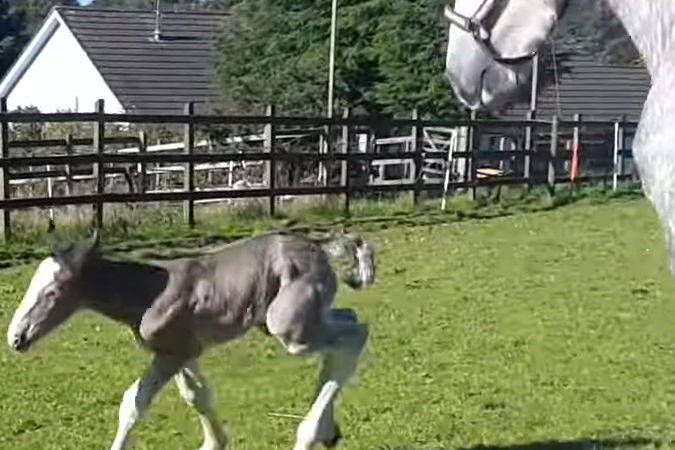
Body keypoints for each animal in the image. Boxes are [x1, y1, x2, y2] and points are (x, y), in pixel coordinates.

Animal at [5, 228, 376, 450]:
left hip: (288, 329)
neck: (149, 293)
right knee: (348, 323)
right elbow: (197, 396)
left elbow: (132, 403)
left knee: (355, 335)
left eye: (53, 292)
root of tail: (321, 248)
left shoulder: (171, 354)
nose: (15, 337)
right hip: (293, 321)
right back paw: (328, 431)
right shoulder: (183, 351)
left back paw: (309, 434)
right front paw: (215, 442)